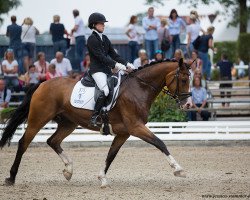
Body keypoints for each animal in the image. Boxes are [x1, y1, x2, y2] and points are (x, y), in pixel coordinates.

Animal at [0, 58, 190, 187]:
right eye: (183, 80)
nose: (187, 104)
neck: (138, 88)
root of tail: (41, 84)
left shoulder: (124, 133)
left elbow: (111, 155)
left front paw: (102, 178)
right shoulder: (136, 127)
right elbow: (160, 142)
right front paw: (178, 169)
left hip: (68, 123)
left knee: (52, 141)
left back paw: (68, 170)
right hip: (38, 119)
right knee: (24, 143)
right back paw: (11, 177)